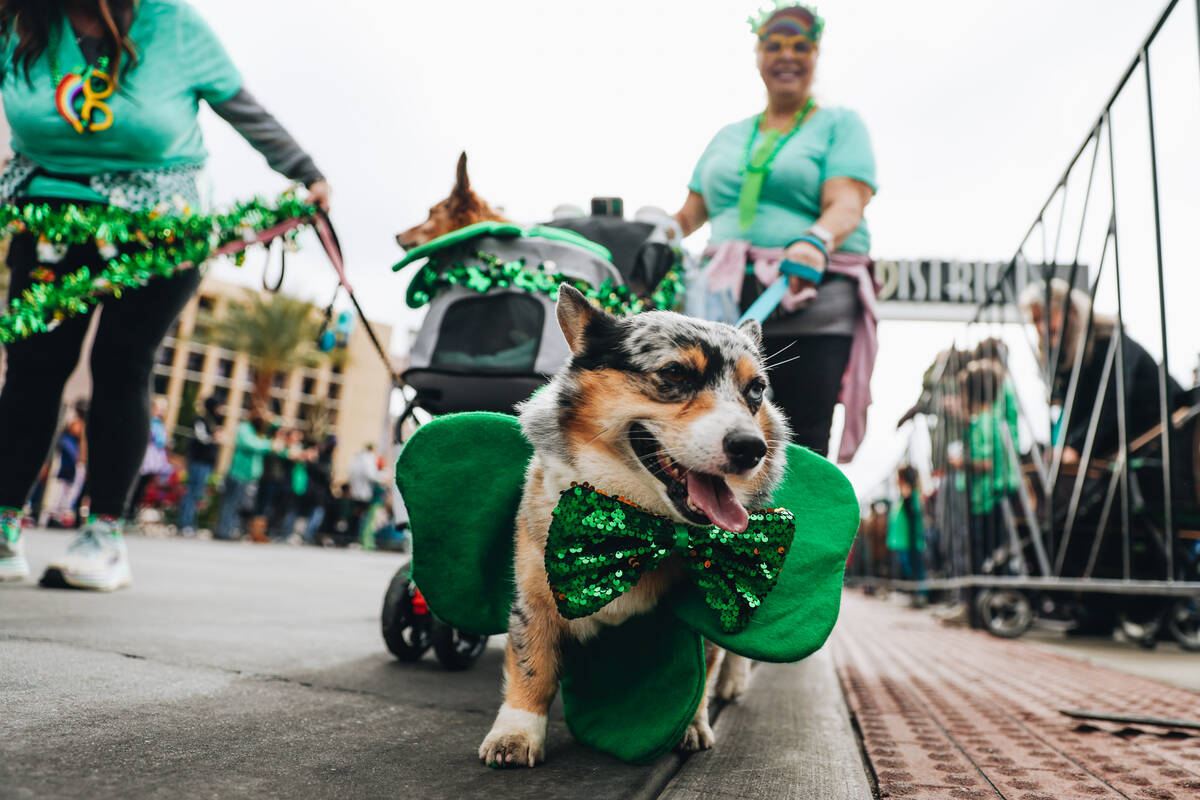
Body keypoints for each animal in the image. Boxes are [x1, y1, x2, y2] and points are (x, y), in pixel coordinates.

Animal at [477, 284, 787, 767]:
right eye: (674, 373)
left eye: (756, 389)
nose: (751, 448)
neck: (639, 518)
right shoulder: (535, 596)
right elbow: (532, 667)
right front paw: (515, 734)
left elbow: (701, 672)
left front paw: (691, 725)